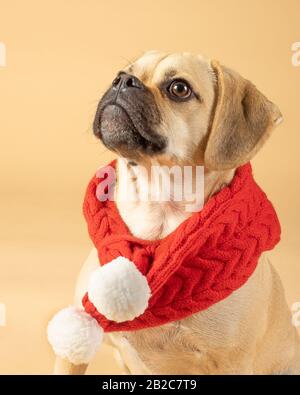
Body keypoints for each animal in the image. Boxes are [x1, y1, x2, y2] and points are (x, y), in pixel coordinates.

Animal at [52, 51, 300, 376]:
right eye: (120, 73)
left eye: (179, 89)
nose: (123, 81)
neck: (158, 212)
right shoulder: (73, 351)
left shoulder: (232, 363)